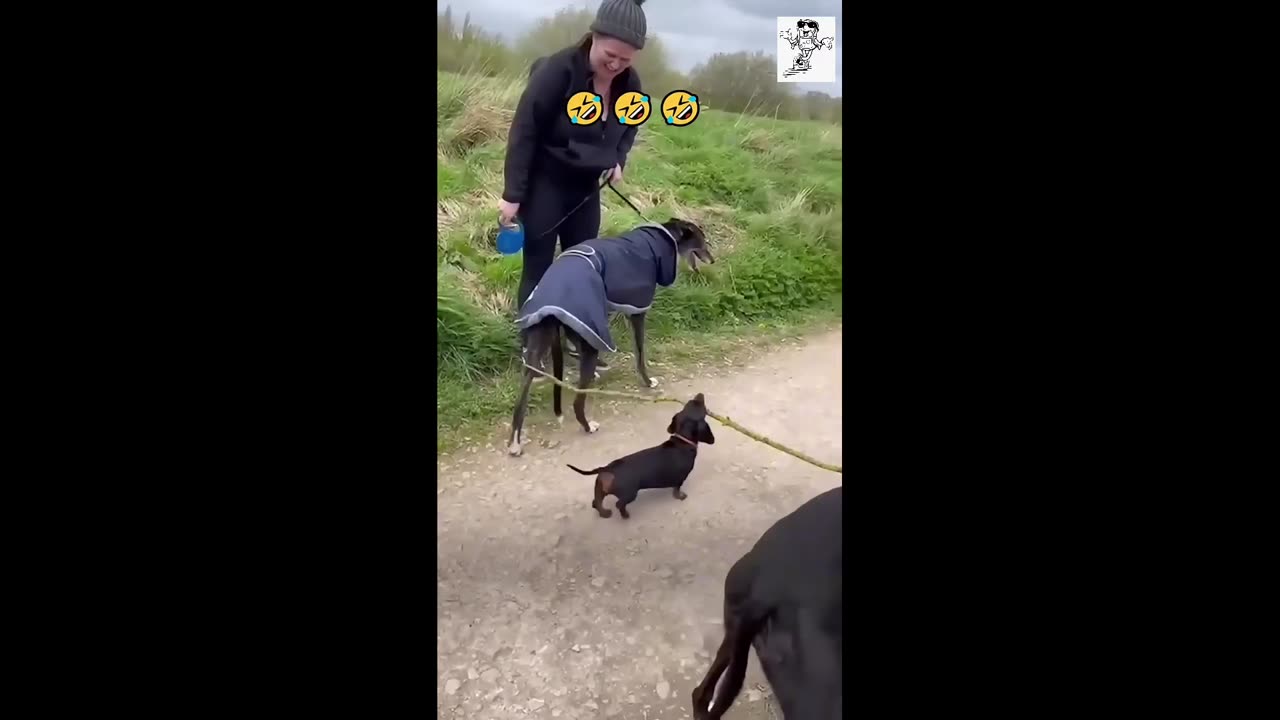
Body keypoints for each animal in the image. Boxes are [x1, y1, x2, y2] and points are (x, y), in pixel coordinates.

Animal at [506, 219, 711, 453]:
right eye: (703, 241)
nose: (712, 259)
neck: (661, 238)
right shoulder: (636, 312)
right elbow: (640, 354)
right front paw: (647, 381)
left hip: (537, 344)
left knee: (523, 394)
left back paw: (515, 442)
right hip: (586, 341)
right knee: (577, 402)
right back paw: (588, 426)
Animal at [565, 392, 716, 515]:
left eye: (689, 404)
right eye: (698, 405)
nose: (700, 394)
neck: (682, 441)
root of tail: (608, 468)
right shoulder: (680, 479)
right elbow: (677, 490)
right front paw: (680, 497)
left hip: (600, 490)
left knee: (596, 503)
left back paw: (605, 513)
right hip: (630, 493)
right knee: (619, 504)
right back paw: (625, 515)